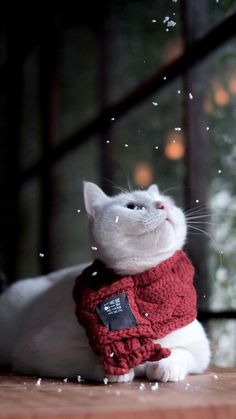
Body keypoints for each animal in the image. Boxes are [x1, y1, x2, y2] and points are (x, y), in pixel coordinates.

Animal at [0, 182, 210, 382]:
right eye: (132, 206)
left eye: (167, 201)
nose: (163, 205)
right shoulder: (41, 348)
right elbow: (87, 358)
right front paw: (114, 368)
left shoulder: (200, 347)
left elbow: (180, 352)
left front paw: (166, 365)